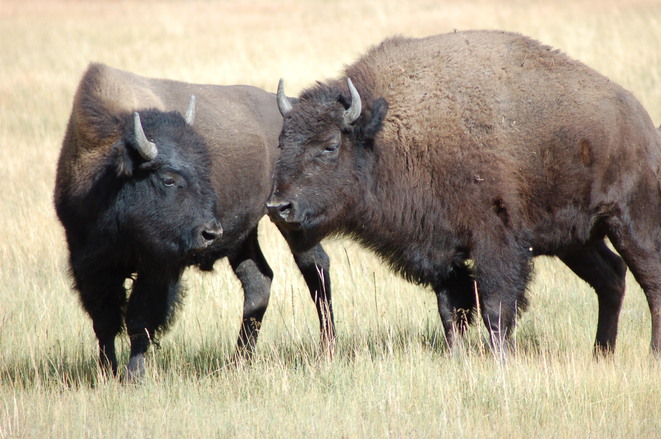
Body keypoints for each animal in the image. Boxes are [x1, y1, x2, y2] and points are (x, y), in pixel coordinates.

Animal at [55, 63, 335, 379]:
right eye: (168, 179)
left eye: (205, 170)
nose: (210, 233)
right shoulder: (88, 262)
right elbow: (104, 321)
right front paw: (107, 372)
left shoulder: (159, 266)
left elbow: (140, 319)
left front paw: (133, 375)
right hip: (245, 235)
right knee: (258, 280)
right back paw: (239, 361)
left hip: (290, 220)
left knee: (314, 267)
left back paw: (327, 348)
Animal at [268, 30, 661, 357]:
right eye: (282, 142)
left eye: (330, 145)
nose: (278, 206)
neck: (389, 135)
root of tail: (641, 121)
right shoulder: (442, 251)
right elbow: (451, 311)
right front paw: (457, 357)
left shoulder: (495, 242)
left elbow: (496, 308)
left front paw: (501, 361)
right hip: (577, 241)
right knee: (611, 277)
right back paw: (601, 353)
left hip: (630, 221)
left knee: (650, 278)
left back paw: (652, 354)